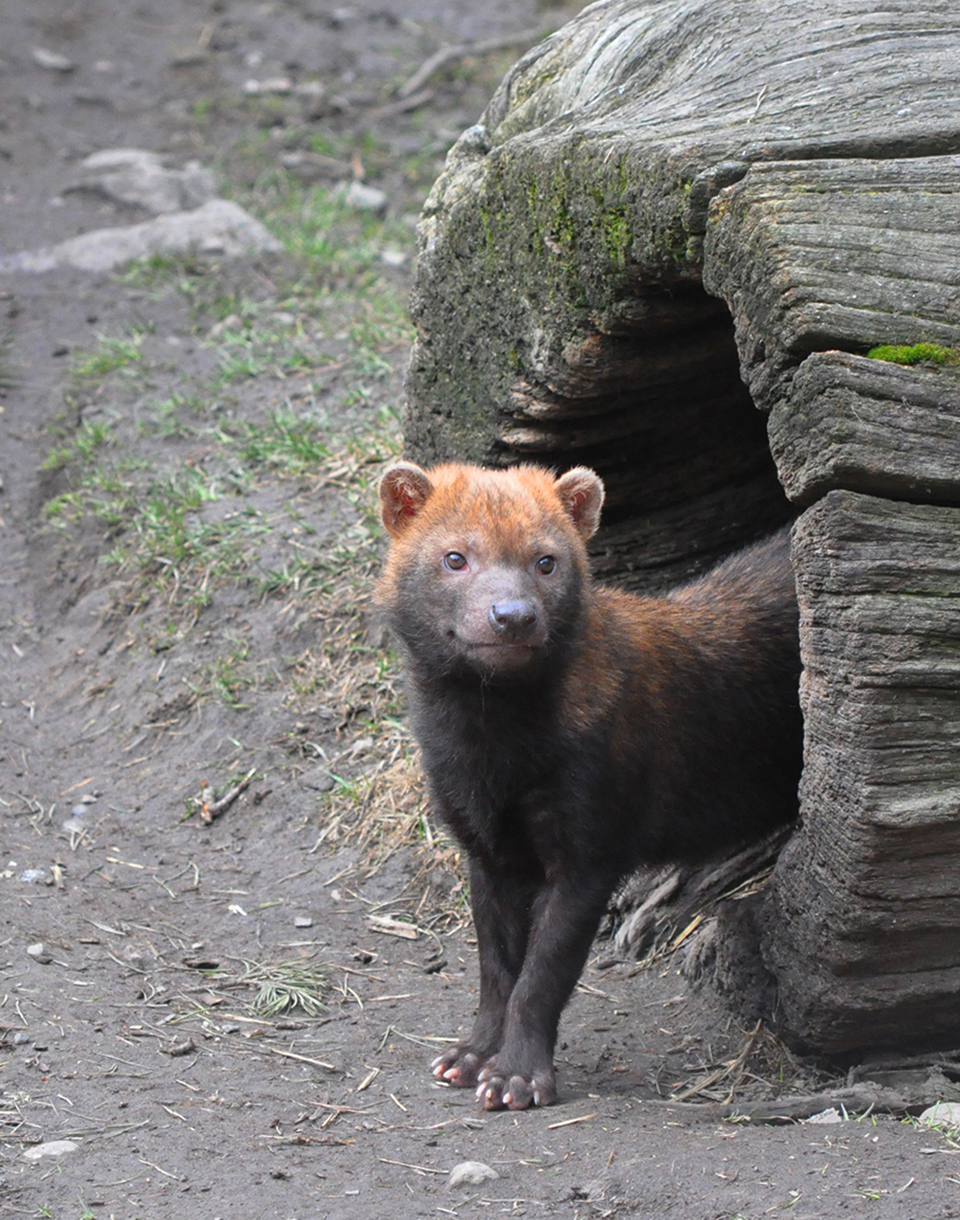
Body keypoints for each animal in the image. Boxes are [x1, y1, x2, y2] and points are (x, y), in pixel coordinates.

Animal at [375, 458, 805, 1107]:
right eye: (454, 557)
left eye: (546, 560)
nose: (513, 615)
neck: (495, 766)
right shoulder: (485, 847)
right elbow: (495, 966)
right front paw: (468, 1057)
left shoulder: (589, 838)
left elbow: (542, 973)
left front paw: (515, 1078)